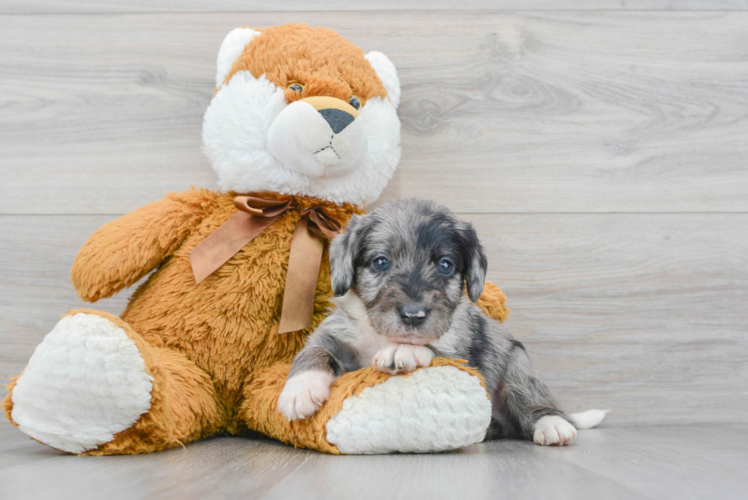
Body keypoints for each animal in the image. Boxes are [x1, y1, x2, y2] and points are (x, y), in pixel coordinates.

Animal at [278, 199, 604, 446]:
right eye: (381, 262)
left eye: (445, 266)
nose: (413, 314)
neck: (382, 335)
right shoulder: (334, 335)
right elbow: (313, 351)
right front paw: (299, 388)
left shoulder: (460, 354)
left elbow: (432, 350)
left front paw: (404, 350)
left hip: (517, 364)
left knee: (534, 404)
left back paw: (552, 424)